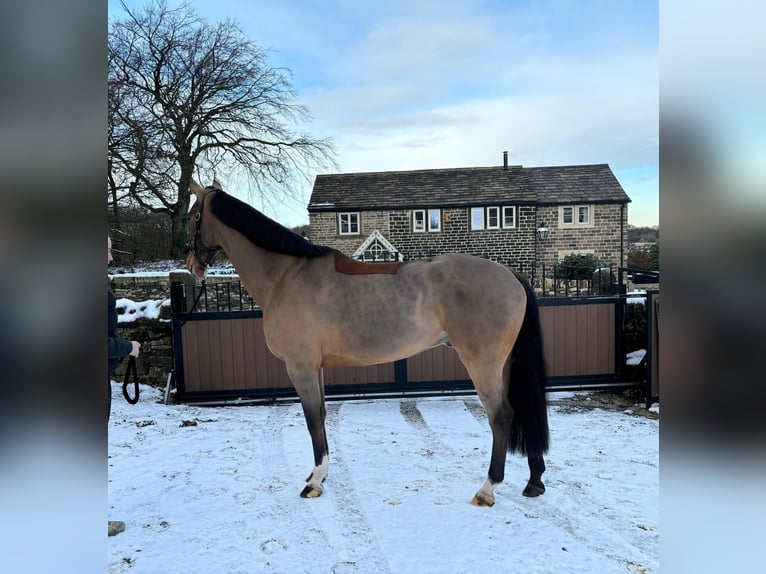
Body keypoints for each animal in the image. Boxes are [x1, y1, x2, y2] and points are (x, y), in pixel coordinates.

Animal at [184, 180, 552, 508]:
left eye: (191, 216)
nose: (191, 266)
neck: (287, 276)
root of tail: (510, 274)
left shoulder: (300, 367)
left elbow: (312, 419)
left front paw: (315, 484)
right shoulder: (315, 368)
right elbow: (321, 415)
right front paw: (317, 476)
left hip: (482, 364)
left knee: (501, 416)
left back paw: (487, 489)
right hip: (504, 364)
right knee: (520, 409)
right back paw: (534, 481)